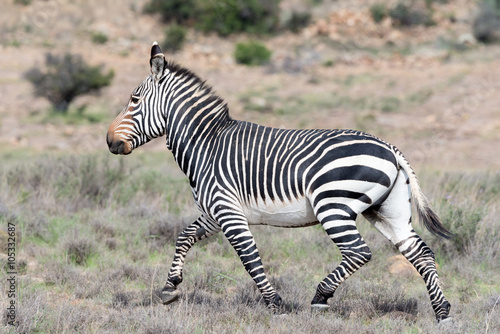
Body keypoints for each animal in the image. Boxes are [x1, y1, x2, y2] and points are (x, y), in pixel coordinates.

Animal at [107, 41, 452, 320]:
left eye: (134, 100)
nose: (109, 140)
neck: (206, 144)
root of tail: (391, 148)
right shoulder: (216, 212)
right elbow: (184, 236)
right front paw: (170, 287)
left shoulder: (229, 213)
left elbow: (249, 258)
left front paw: (275, 304)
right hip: (387, 210)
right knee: (421, 252)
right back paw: (442, 311)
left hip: (333, 206)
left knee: (359, 252)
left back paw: (321, 296)